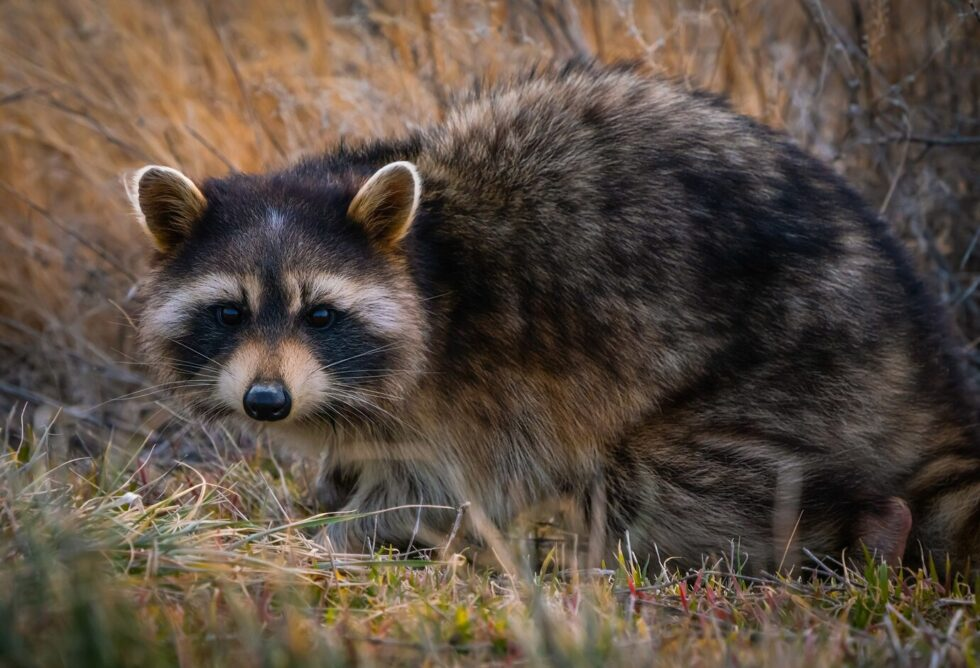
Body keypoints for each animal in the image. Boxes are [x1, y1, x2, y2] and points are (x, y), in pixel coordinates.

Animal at [128, 62, 980, 576]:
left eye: (322, 315)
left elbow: (432, 492)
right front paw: (328, 490)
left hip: (797, 366)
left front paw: (324, 541)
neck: (427, 261)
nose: (266, 402)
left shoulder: (479, 389)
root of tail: (919, 354)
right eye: (230, 312)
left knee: (674, 486)